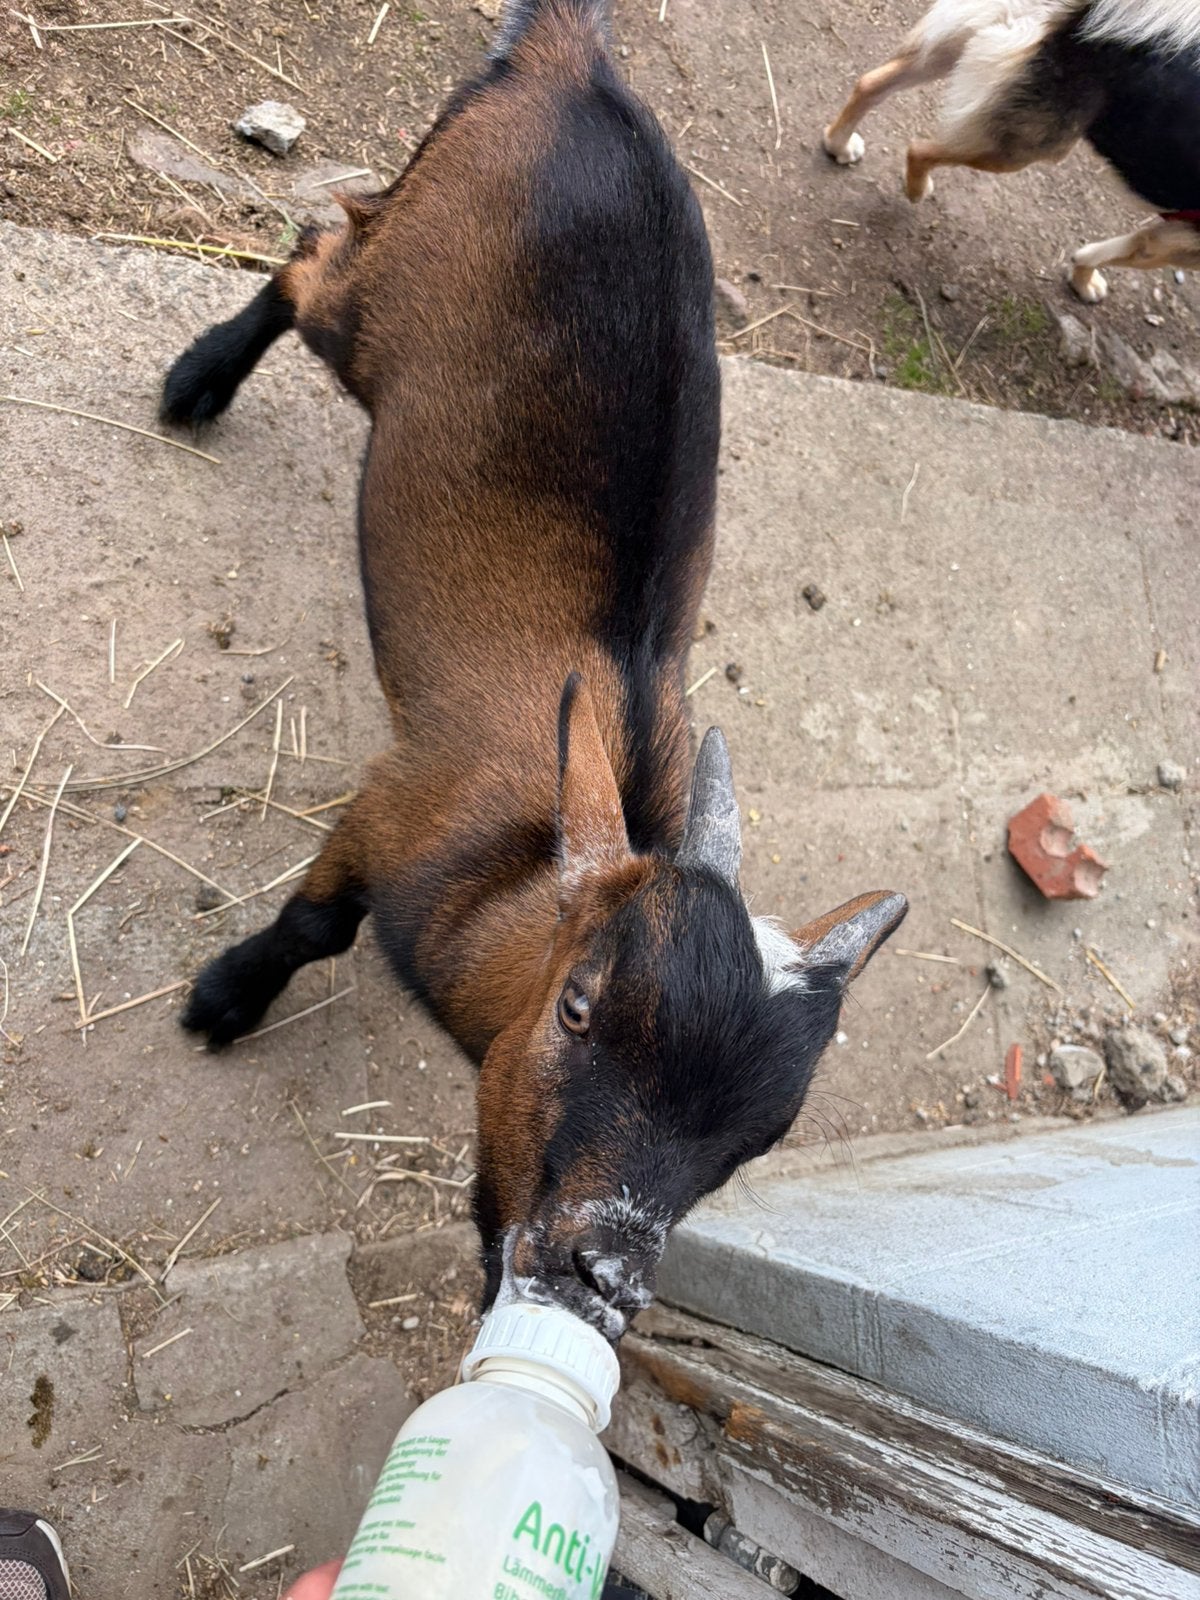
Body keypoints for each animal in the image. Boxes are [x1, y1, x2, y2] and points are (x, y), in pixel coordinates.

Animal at [162, 0, 907, 1342]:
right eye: (578, 1004)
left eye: (757, 1141)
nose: (597, 1271)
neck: (504, 886)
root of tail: (574, 59)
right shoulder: (392, 805)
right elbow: (314, 924)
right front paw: (227, 998)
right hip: (387, 294)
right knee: (315, 249)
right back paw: (197, 379)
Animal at [823, 0, 1200, 303]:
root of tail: (1077, 15)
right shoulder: (1176, 245)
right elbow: (1106, 252)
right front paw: (1083, 279)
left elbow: (1109, 249)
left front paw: (1083, 276)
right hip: (1023, 146)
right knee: (920, 148)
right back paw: (916, 189)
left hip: (963, 51)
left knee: (870, 83)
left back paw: (838, 144)